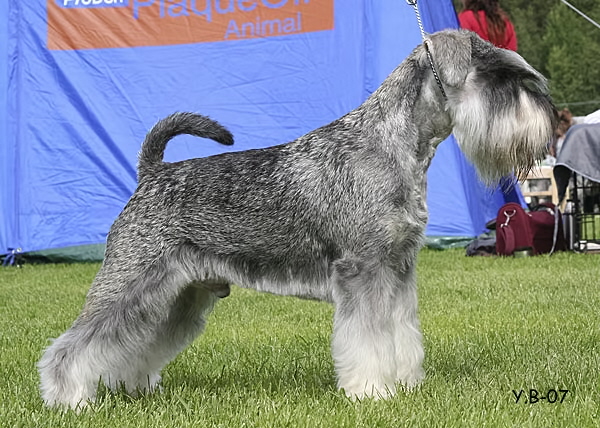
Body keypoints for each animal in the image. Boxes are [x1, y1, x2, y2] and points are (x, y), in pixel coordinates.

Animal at [38, 30, 556, 408]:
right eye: (500, 76)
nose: (548, 118)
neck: (394, 145)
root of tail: (151, 173)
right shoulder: (364, 270)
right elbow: (369, 339)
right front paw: (372, 392)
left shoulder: (399, 268)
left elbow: (402, 331)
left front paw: (407, 383)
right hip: (132, 280)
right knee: (74, 345)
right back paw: (68, 399)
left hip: (176, 295)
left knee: (134, 344)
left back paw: (130, 387)